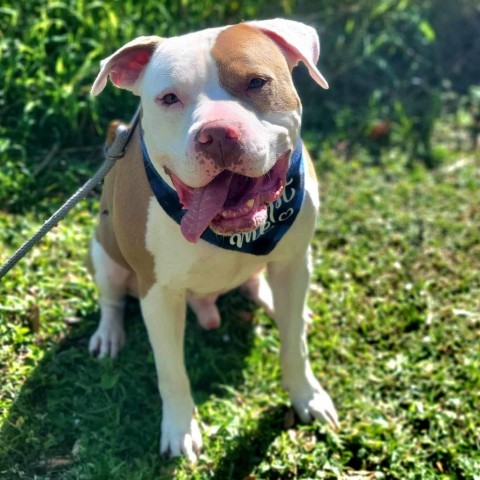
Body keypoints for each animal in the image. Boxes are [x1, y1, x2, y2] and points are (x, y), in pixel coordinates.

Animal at [88, 17, 340, 462]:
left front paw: (306, 396)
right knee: (112, 298)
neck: (232, 234)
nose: (218, 133)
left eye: (257, 82)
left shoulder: (295, 260)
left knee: (265, 290)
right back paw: (109, 333)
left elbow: (295, 344)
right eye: (169, 98)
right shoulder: (158, 293)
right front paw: (180, 429)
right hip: (102, 252)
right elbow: (171, 371)